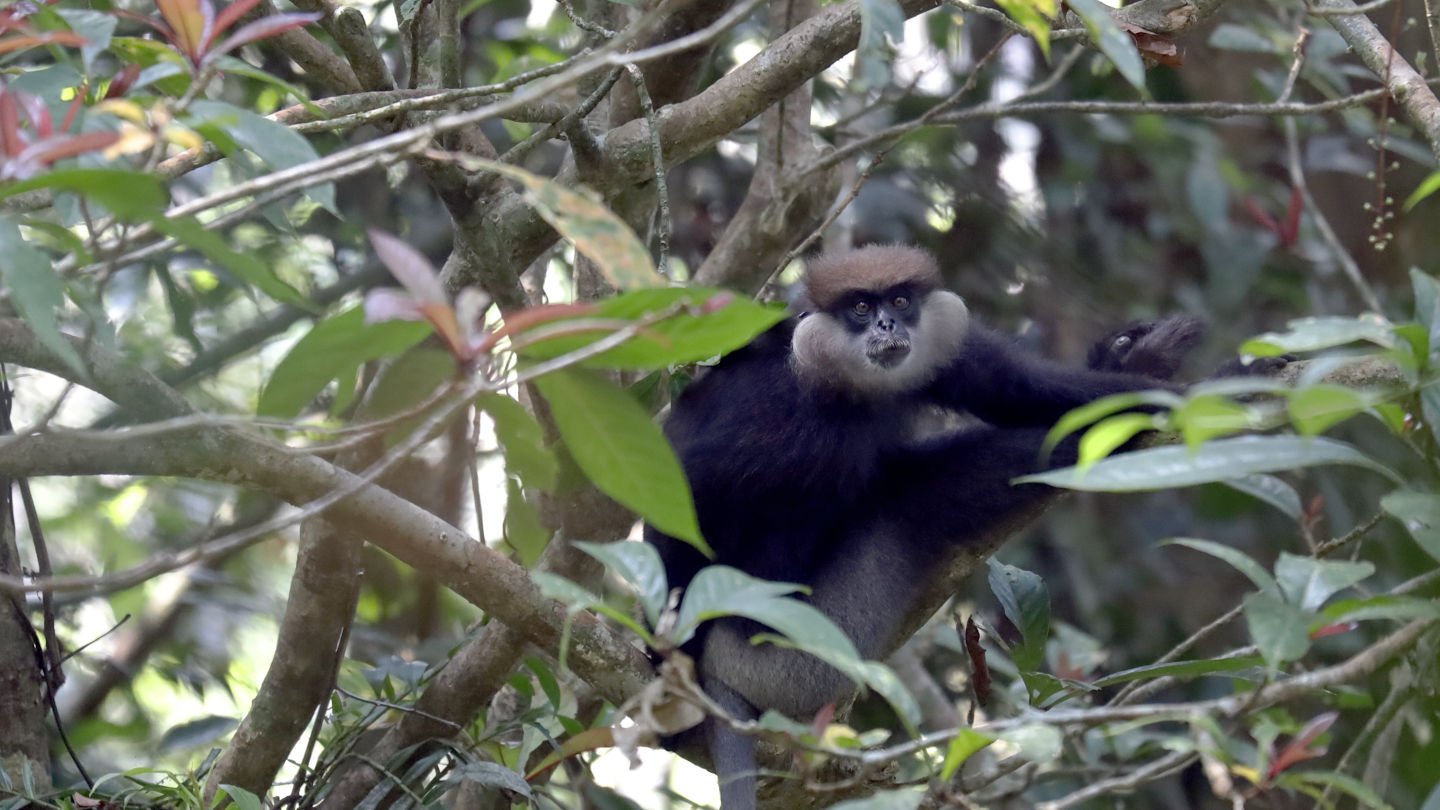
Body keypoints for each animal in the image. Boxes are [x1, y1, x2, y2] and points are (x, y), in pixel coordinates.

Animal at [644, 245, 1236, 810]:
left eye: (900, 301)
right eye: (861, 309)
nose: (888, 325)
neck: (848, 387)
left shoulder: (954, 351)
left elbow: (1030, 390)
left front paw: (1165, 369)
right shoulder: (771, 409)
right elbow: (683, 495)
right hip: (788, 652)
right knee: (911, 502)